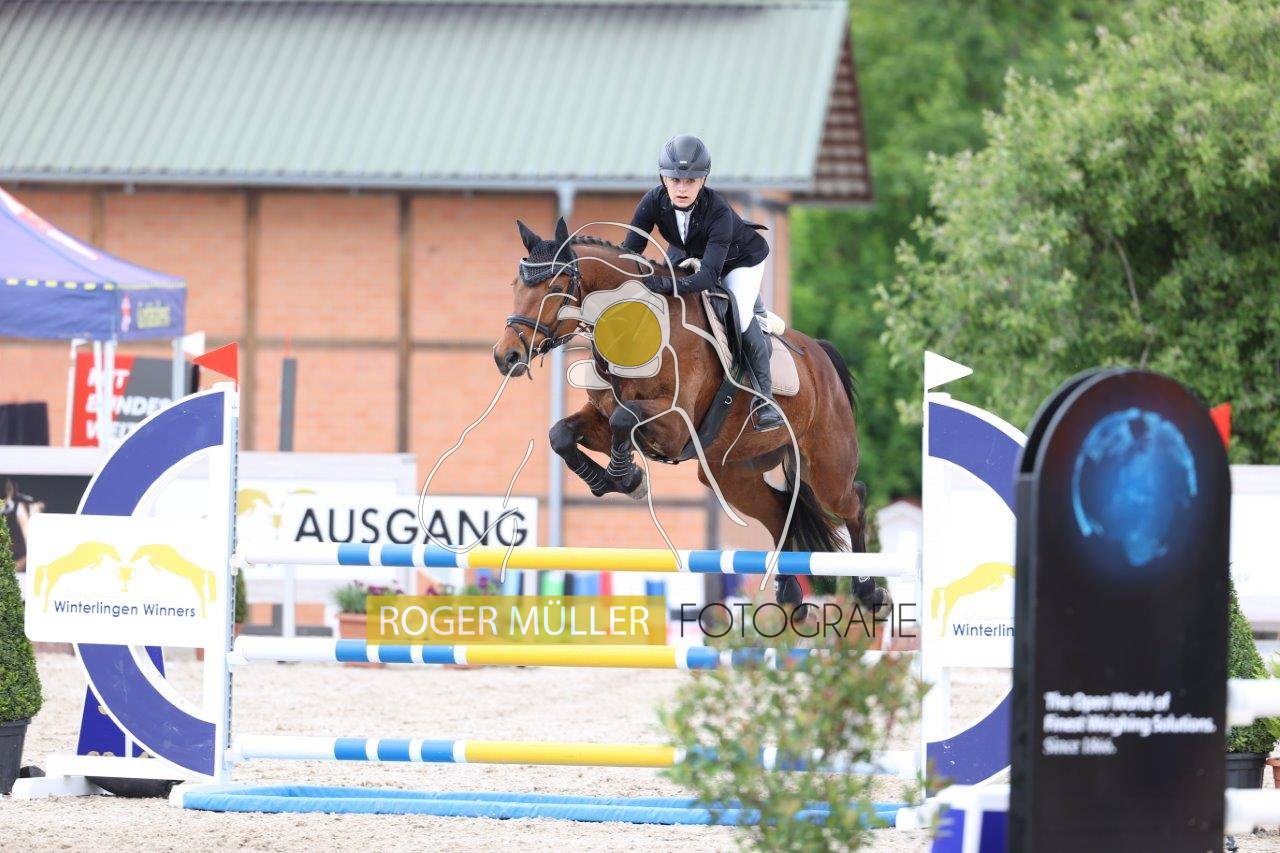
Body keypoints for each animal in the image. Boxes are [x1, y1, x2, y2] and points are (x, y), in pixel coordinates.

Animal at [492, 218, 883, 609]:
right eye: (514, 286)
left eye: (555, 289)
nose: (506, 356)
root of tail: (820, 354)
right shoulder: (601, 416)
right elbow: (562, 434)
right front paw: (614, 479)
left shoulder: (675, 425)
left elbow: (624, 420)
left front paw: (626, 478)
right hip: (729, 473)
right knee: (778, 511)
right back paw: (788, 594)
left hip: (827, 466)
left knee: (854, 502)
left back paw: (868, 592)